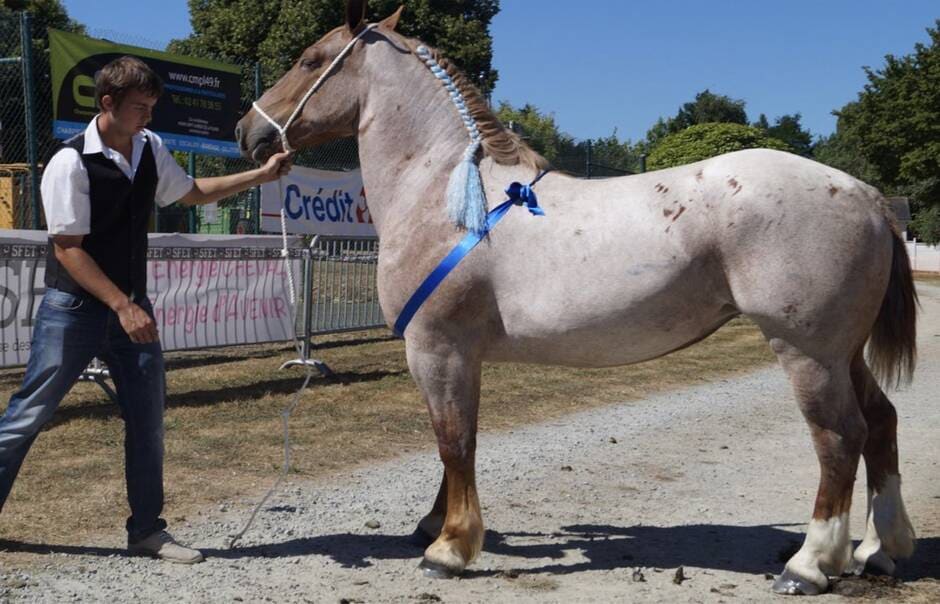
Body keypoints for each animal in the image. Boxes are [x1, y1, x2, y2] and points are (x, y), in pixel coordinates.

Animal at [235, 0, 916, 596]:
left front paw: (449, 549)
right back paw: (881, 549)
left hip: (806, 353)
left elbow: (454, 440)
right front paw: (434, 526)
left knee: (839, 438)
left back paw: (810, 564)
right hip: (843, 354)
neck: (449, 192)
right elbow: (453, 443)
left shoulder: (437, 347)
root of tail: (865, 194)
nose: (247, 131)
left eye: (310, 58)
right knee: (881, 422)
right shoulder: (457, 355)